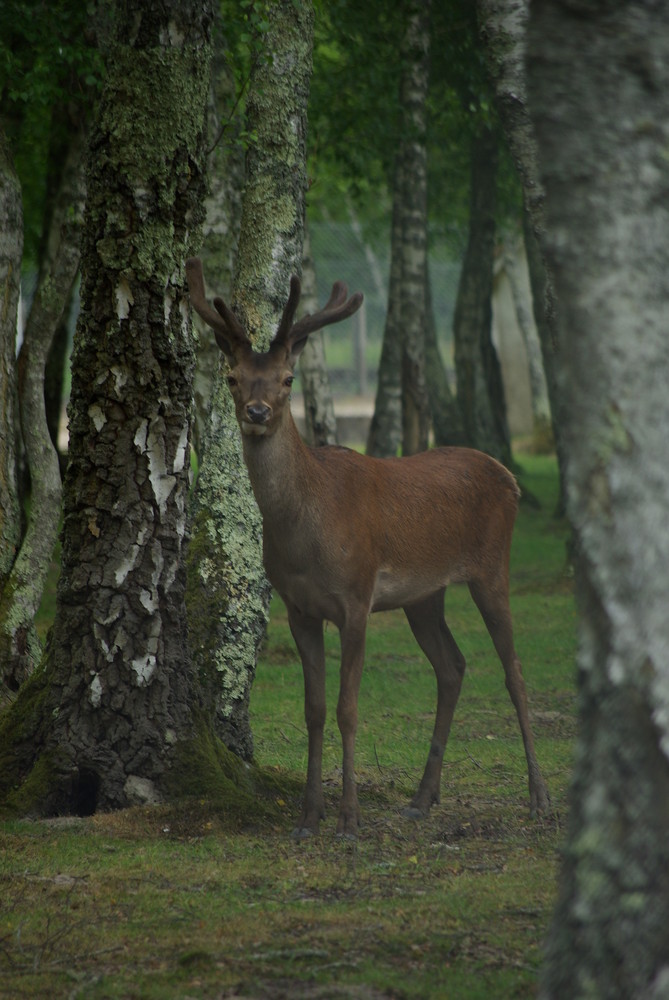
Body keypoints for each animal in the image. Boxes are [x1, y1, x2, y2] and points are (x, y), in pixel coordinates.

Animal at [184, 256, 548, 836]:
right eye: (233, 377)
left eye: (287, 379)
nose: (258, 412)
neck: (306, 538)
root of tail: (509, 477)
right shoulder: (299, 608)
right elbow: (313, 709)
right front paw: (309, 815)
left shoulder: (356, 597)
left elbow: (346, 708)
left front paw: (349, 817)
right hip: (425, 595)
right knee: (453, 666)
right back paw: (422, 797)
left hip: (493, 566)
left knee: (513, 671)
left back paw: (538, 797)